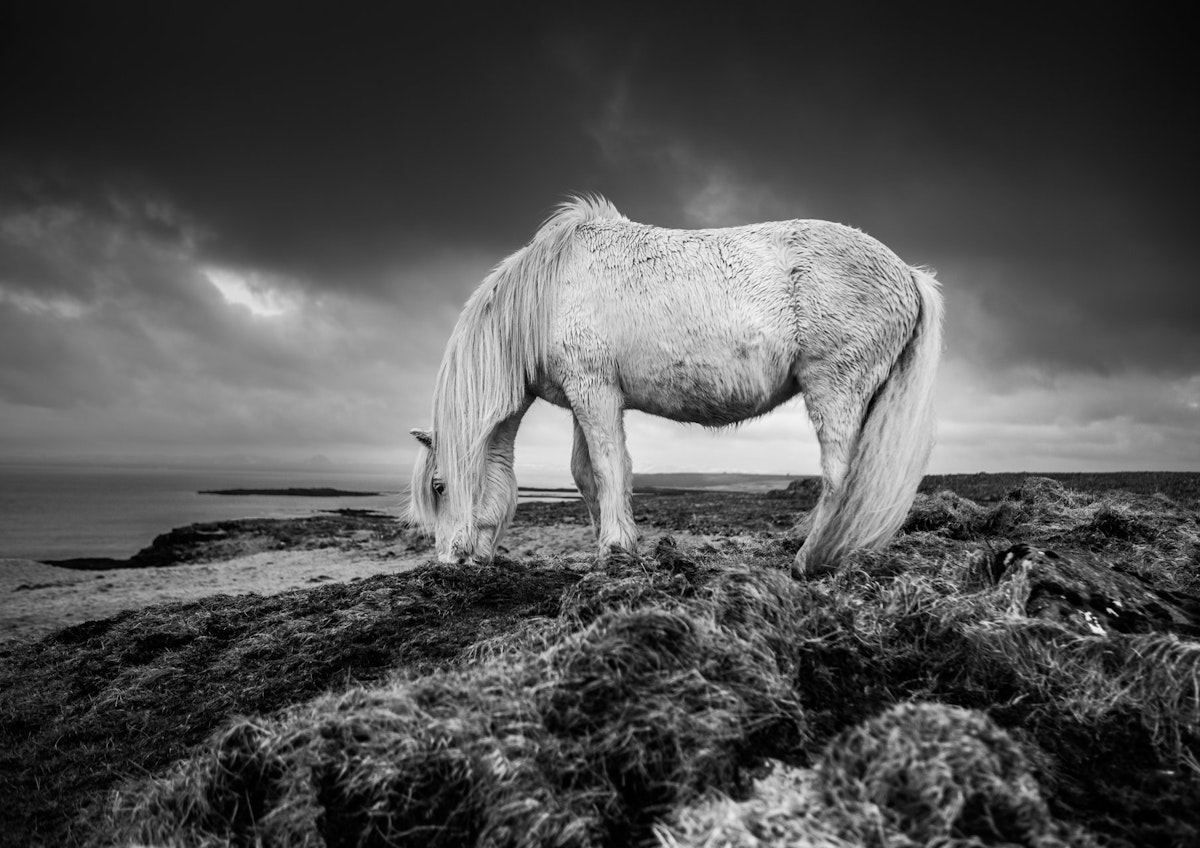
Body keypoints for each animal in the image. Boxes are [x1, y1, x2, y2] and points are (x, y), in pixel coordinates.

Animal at [408, 194, 940, 578]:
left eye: (439, 486)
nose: (450, 563)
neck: (548, 292)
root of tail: (909, 275)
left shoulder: (594, 391)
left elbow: (608, 466)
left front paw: (616, 549)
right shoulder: (588, 395)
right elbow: (585, 473)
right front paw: (613, 546)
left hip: (835, 388)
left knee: (841, 476)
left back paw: (812, 560)